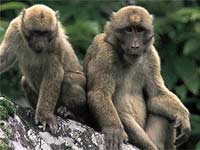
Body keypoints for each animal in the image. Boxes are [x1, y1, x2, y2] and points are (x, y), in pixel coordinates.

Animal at [0, 4, 87, 134]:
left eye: (45, 33)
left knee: (69, 79)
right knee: (25, 82)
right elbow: (4, 58)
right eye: (36, 32)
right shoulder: (13, 29)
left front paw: (44, 116)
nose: (40, 43)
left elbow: (54, 73)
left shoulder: (56, 41)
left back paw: (70, 113)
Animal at [83, 5, 191, 149]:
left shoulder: (151, 55)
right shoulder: (104, 52)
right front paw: (114, 129)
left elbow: (156, 95)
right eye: (129, 30)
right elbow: (99, 93)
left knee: (164, 113)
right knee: (124, 116)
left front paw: (183, 116)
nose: (135, 45)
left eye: (139, 30)